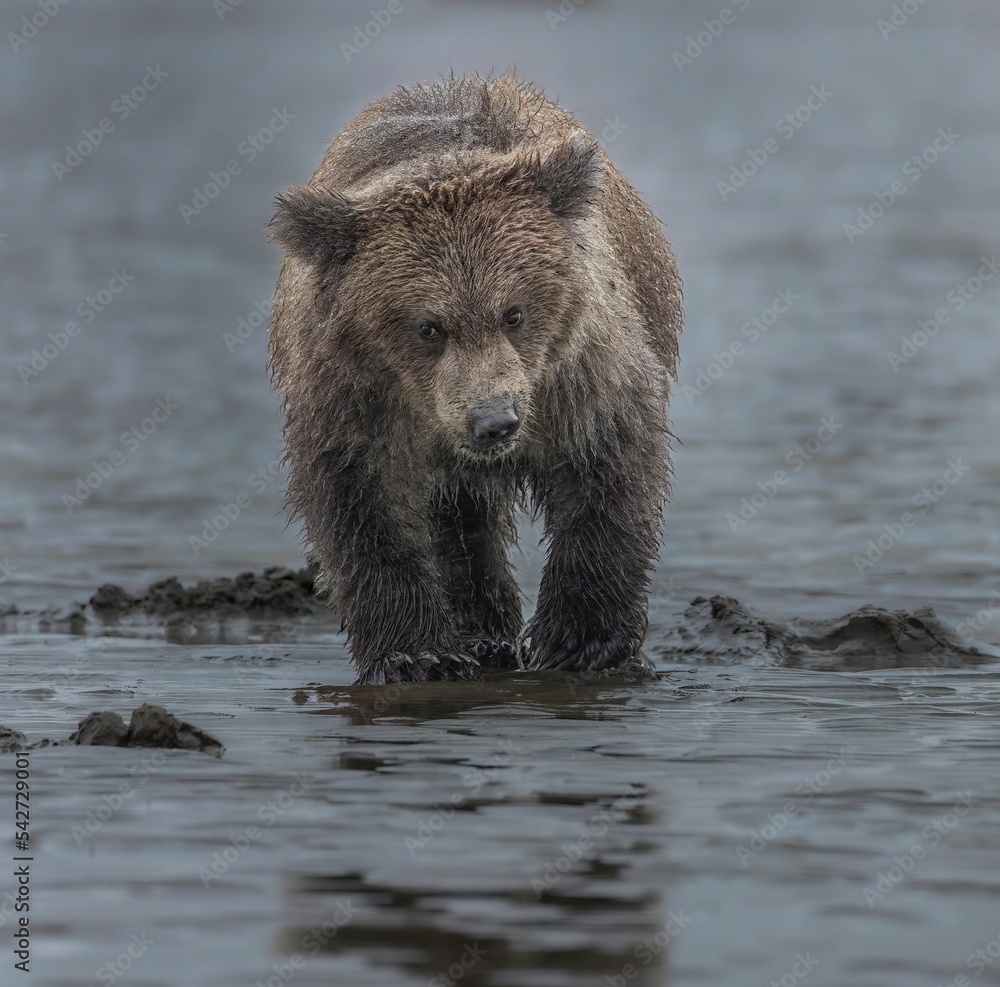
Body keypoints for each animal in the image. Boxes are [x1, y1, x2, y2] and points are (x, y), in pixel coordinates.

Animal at [270, 73, 684, 684]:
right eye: (428, 326)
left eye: (513, 312)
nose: (495, 422)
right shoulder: (353, 395)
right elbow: (363, 503)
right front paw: (416, 653)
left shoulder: (576, 377)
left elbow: (606, 472)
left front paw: (580, 642)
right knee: (457, 517)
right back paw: (479, 634)